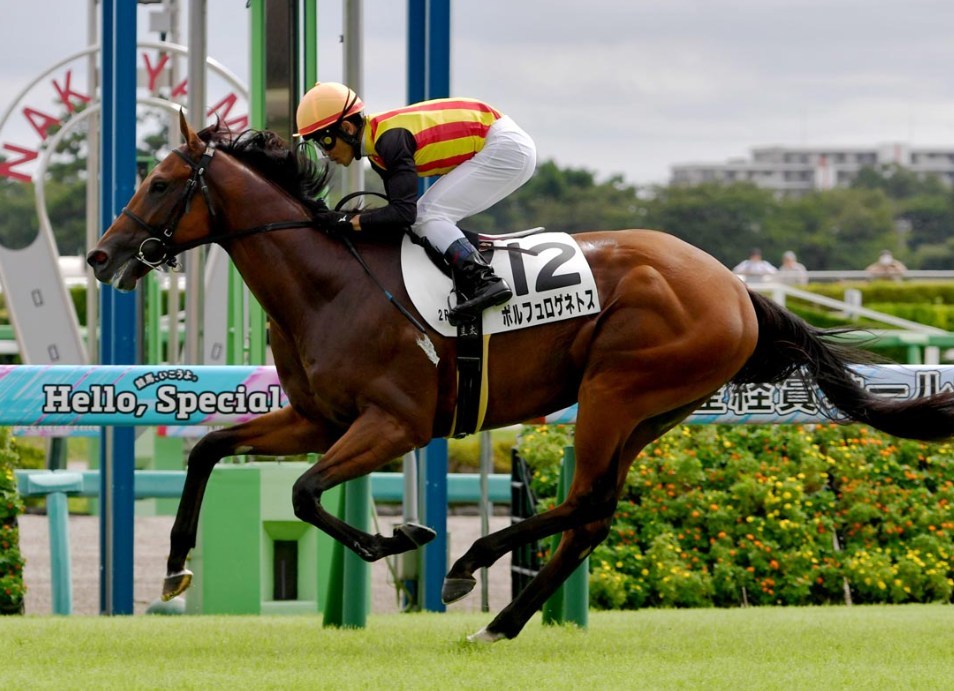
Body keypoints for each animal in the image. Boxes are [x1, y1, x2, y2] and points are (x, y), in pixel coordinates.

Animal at [87, 112, 954, 642]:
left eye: (159, 184)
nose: (100, 255)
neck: (328, 282)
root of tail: (735, 286)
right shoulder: (319, 416)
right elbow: (208, 450)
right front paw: (173, 569)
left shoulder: (395, 422)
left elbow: (303, 492)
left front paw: (404, 536)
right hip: (650, 410)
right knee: (593, 512)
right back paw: (498, 619)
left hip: (617, 390)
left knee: (584, 502)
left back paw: (471, 567)